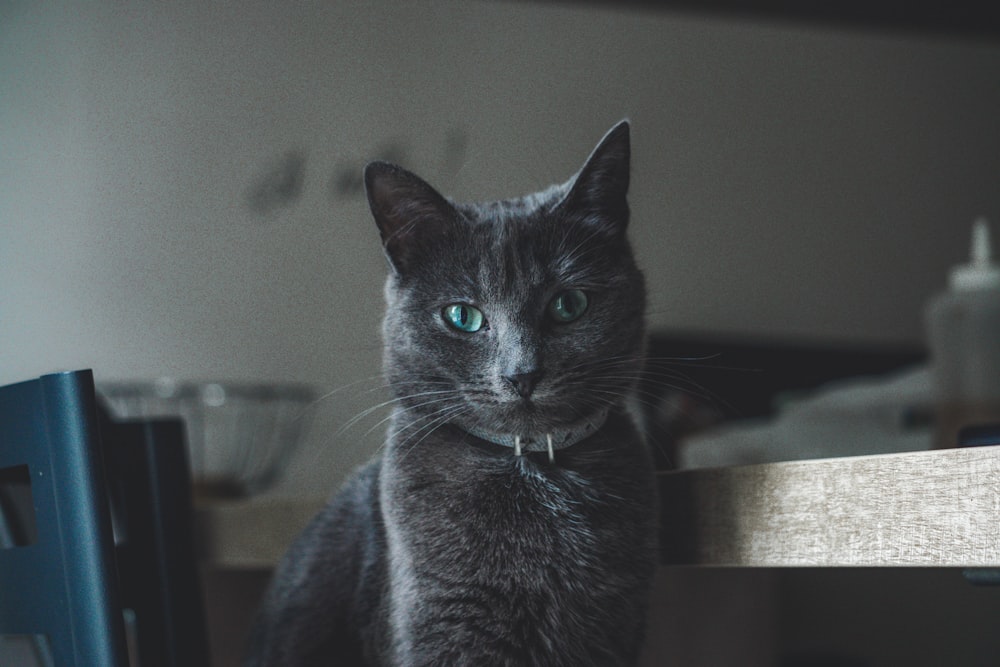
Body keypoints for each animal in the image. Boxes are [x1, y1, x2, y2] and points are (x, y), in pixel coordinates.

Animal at [246, 122, 660, 664]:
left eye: (569, 304)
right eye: (463, 316)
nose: (522, 374)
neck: (529, 468)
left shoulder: (612, 628)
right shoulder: (443, 622)